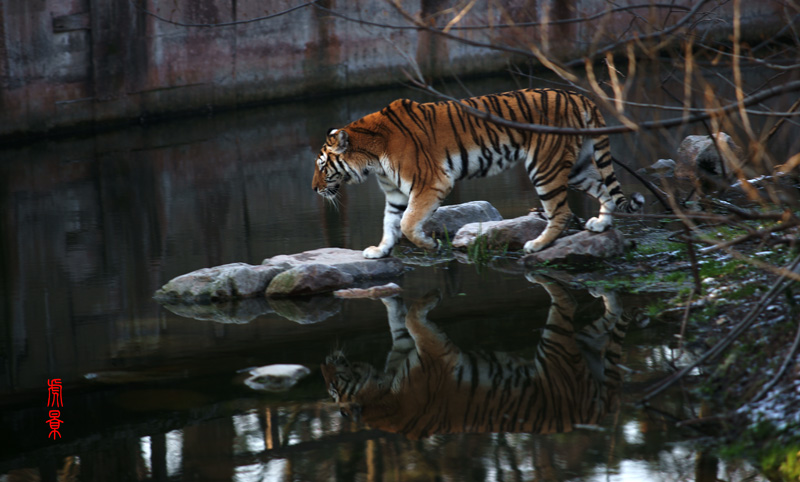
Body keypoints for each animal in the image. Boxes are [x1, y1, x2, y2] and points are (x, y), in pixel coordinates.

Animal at [312, 88, 644, 258]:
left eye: (322, 166)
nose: (314, 189)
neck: (372, 159)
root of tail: (580, 97)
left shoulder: (431, 184)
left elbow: (406, 223)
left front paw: (430, 245)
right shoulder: (394, 193)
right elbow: (390, 224)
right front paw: (380, 251)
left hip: (545, 167)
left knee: (560, 212)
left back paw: (536, 245)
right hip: (575, 167)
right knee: (605, 191)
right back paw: (600, 225)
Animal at [320, 274, 632, 440]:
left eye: (333, 387)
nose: (322, 363)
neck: (381, 393)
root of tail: (596, 413)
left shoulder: (431, 353)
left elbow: (408, 317)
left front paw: (432, 296)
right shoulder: (404, 348)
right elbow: (397, 316)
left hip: (556, 348)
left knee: (567, 299)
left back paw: (539, 276)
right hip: (582, 348)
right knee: (605, 316)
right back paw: (605, 294)